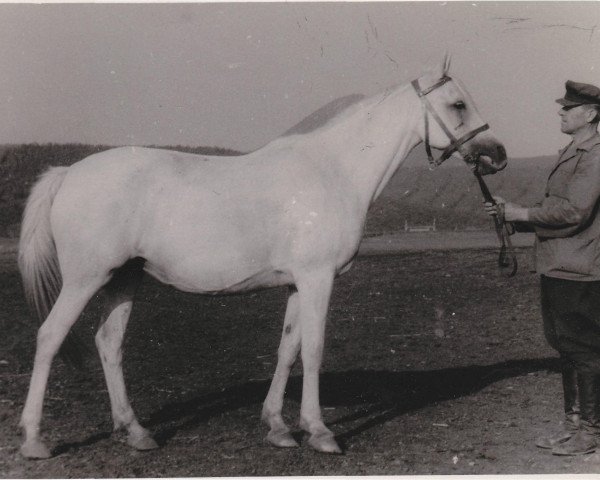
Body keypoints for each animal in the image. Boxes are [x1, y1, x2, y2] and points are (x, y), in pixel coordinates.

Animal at [17, 58, 506, 460]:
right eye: (458, 104)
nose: (497, 155)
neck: (333, 172)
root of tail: (68, 174)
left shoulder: (296, 282)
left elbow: (287, 350)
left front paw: (278, 428)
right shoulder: (318, 278)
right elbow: (313, 349)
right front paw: (320, 432)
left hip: (124, 278)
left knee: (109, 342)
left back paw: (135, 432)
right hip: (86, 278)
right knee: (50, 337)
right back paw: (35, 439)